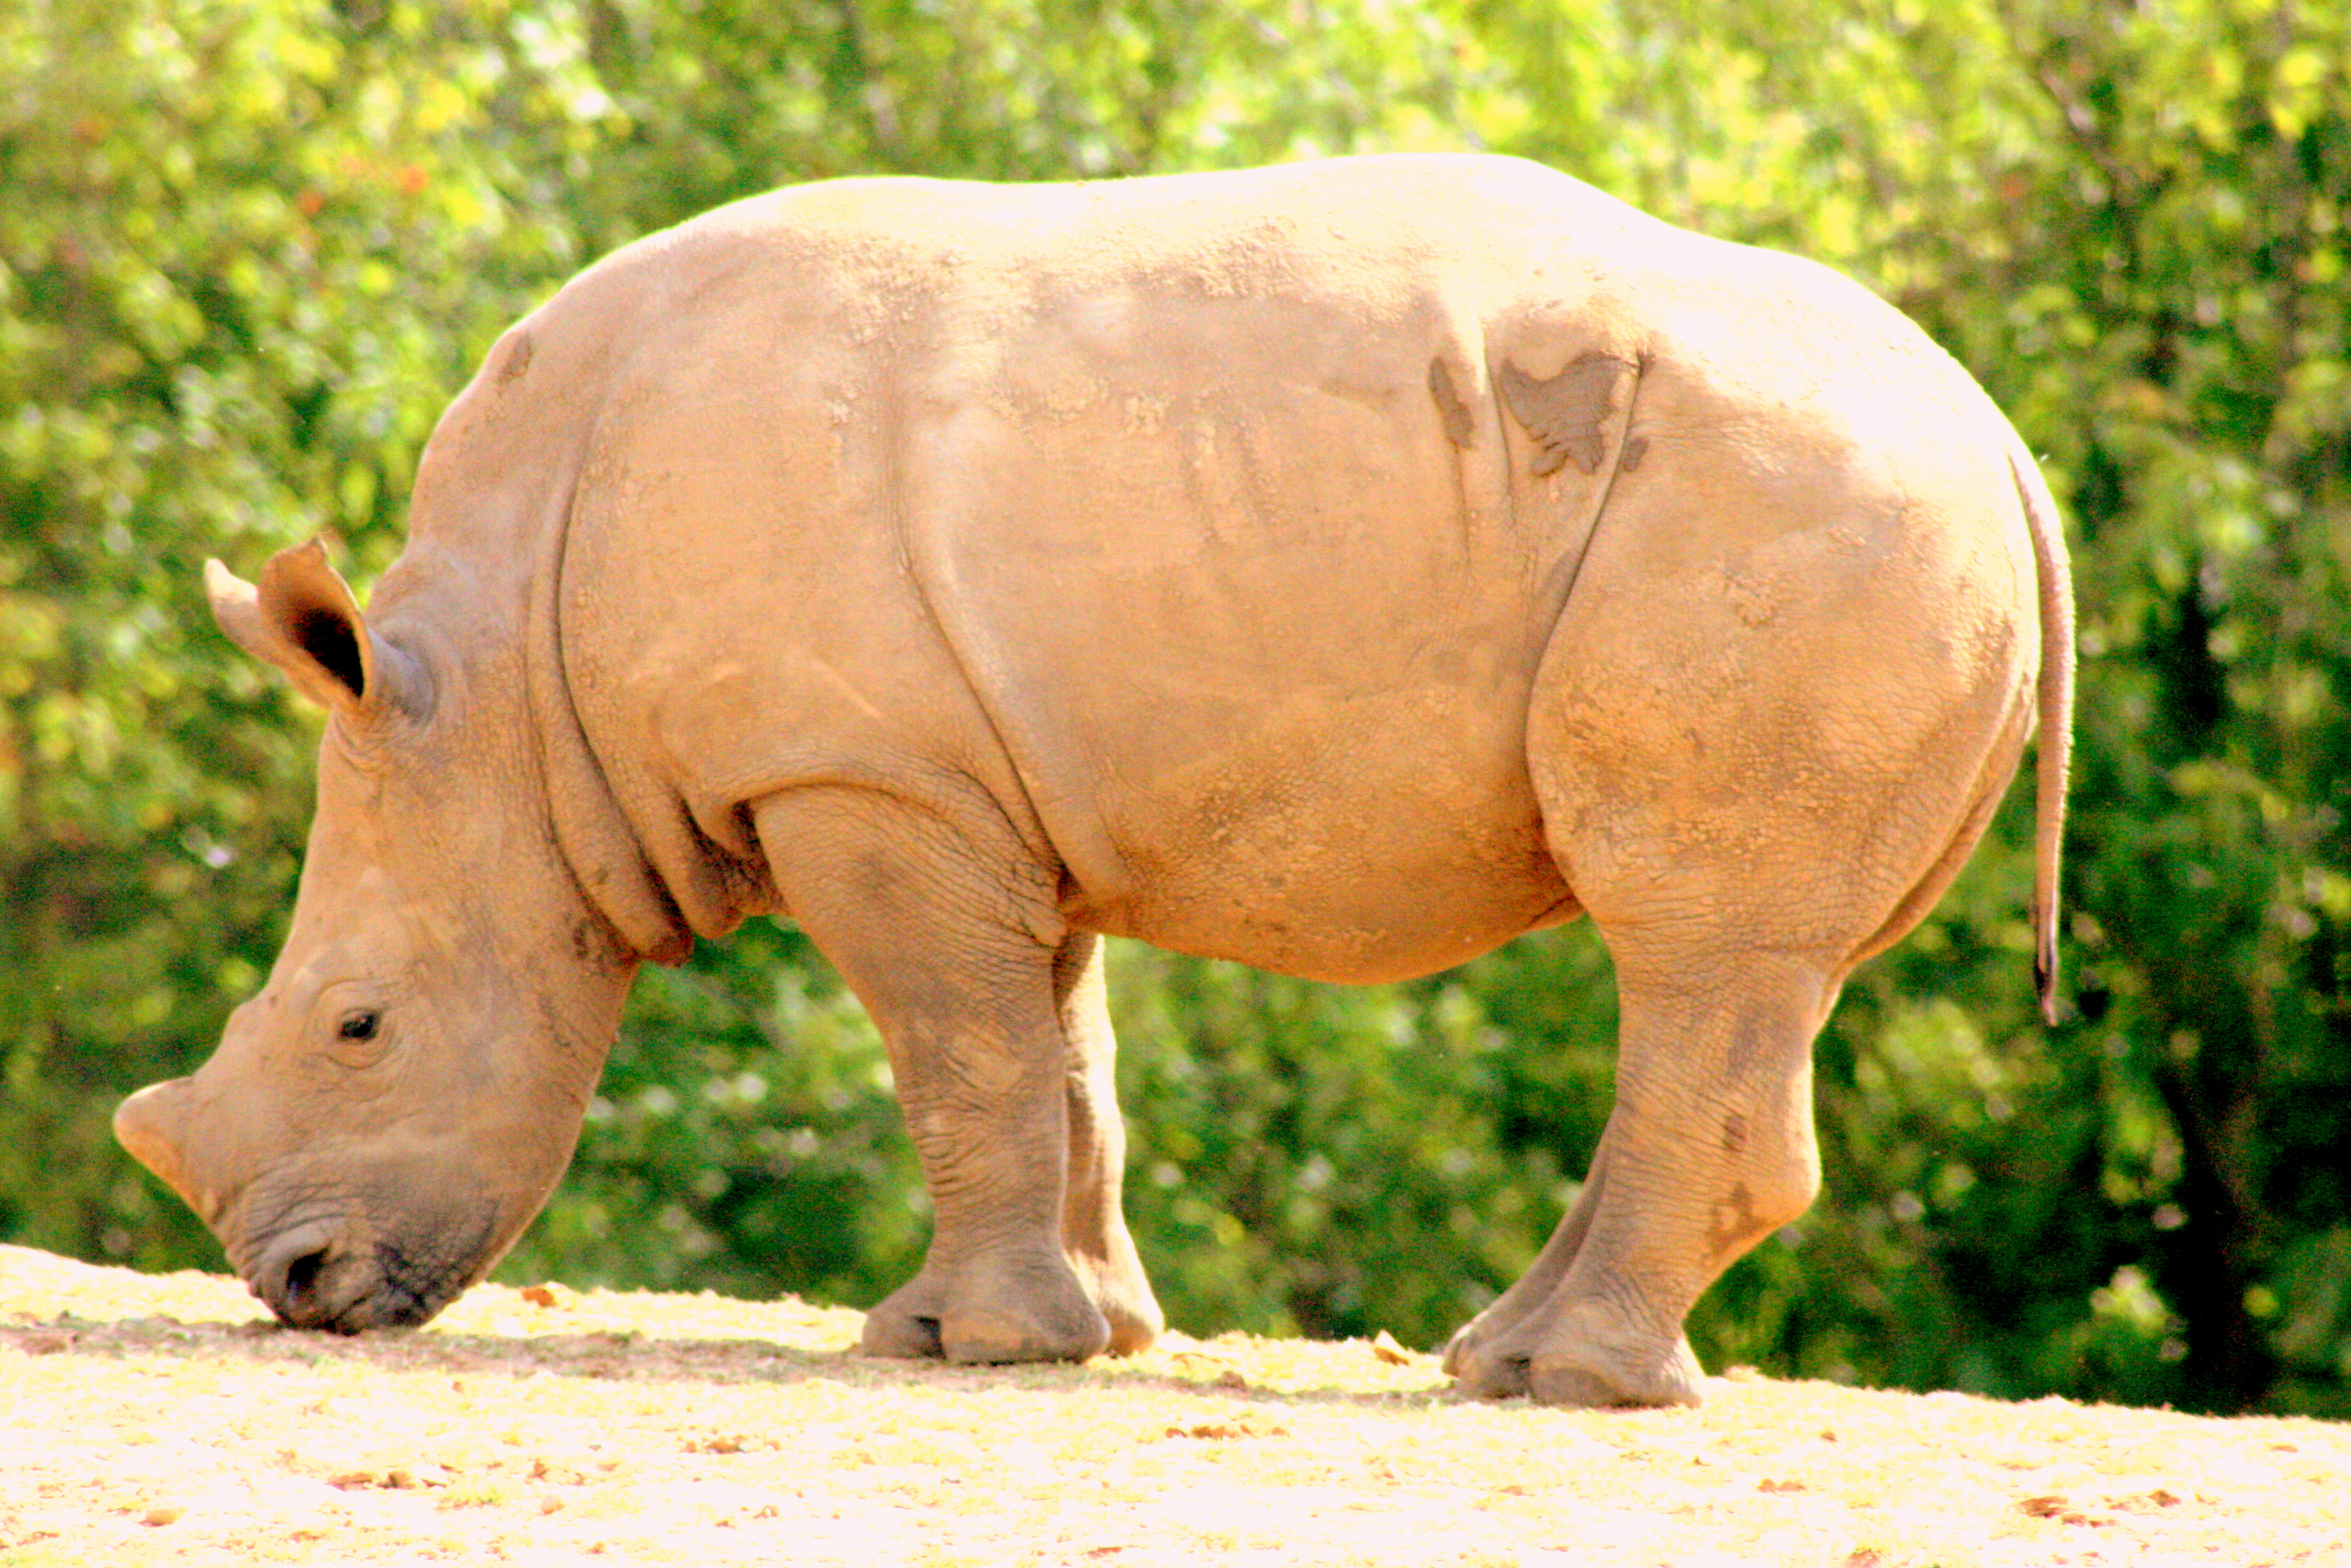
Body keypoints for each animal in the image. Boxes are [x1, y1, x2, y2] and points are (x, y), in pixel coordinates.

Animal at [115, 153, 2071, 1407]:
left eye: (357, 1026)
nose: (293, 1290)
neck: (507, 705)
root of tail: (1994, 433)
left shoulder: (861, 777)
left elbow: (955, 1055)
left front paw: (961, 1346)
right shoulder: (977, 782)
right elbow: (1060, 1061)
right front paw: (1082, 1336)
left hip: (1799, 517)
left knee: (1694, 948)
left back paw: (1566, 1386)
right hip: (1842, 522)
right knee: (1717, 978)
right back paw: (1501, 1362)